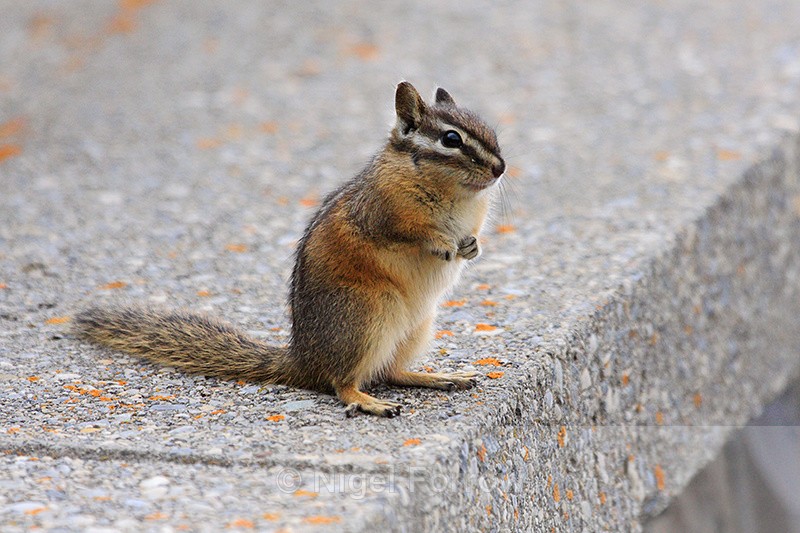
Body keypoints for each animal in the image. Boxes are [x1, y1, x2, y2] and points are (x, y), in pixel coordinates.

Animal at [74, 81, 506, 418]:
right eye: (451, 139)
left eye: (486, 127)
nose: (501, 168)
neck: (455, 193)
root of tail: (302, 361)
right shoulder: (382, 211)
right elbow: (409, 233)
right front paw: (442, 244)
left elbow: (471, 235)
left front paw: (472, 247)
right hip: (366, 315)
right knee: (343, 382)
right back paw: (369, 401)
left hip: (415, 327)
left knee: (390, 372)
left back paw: (439, 377)